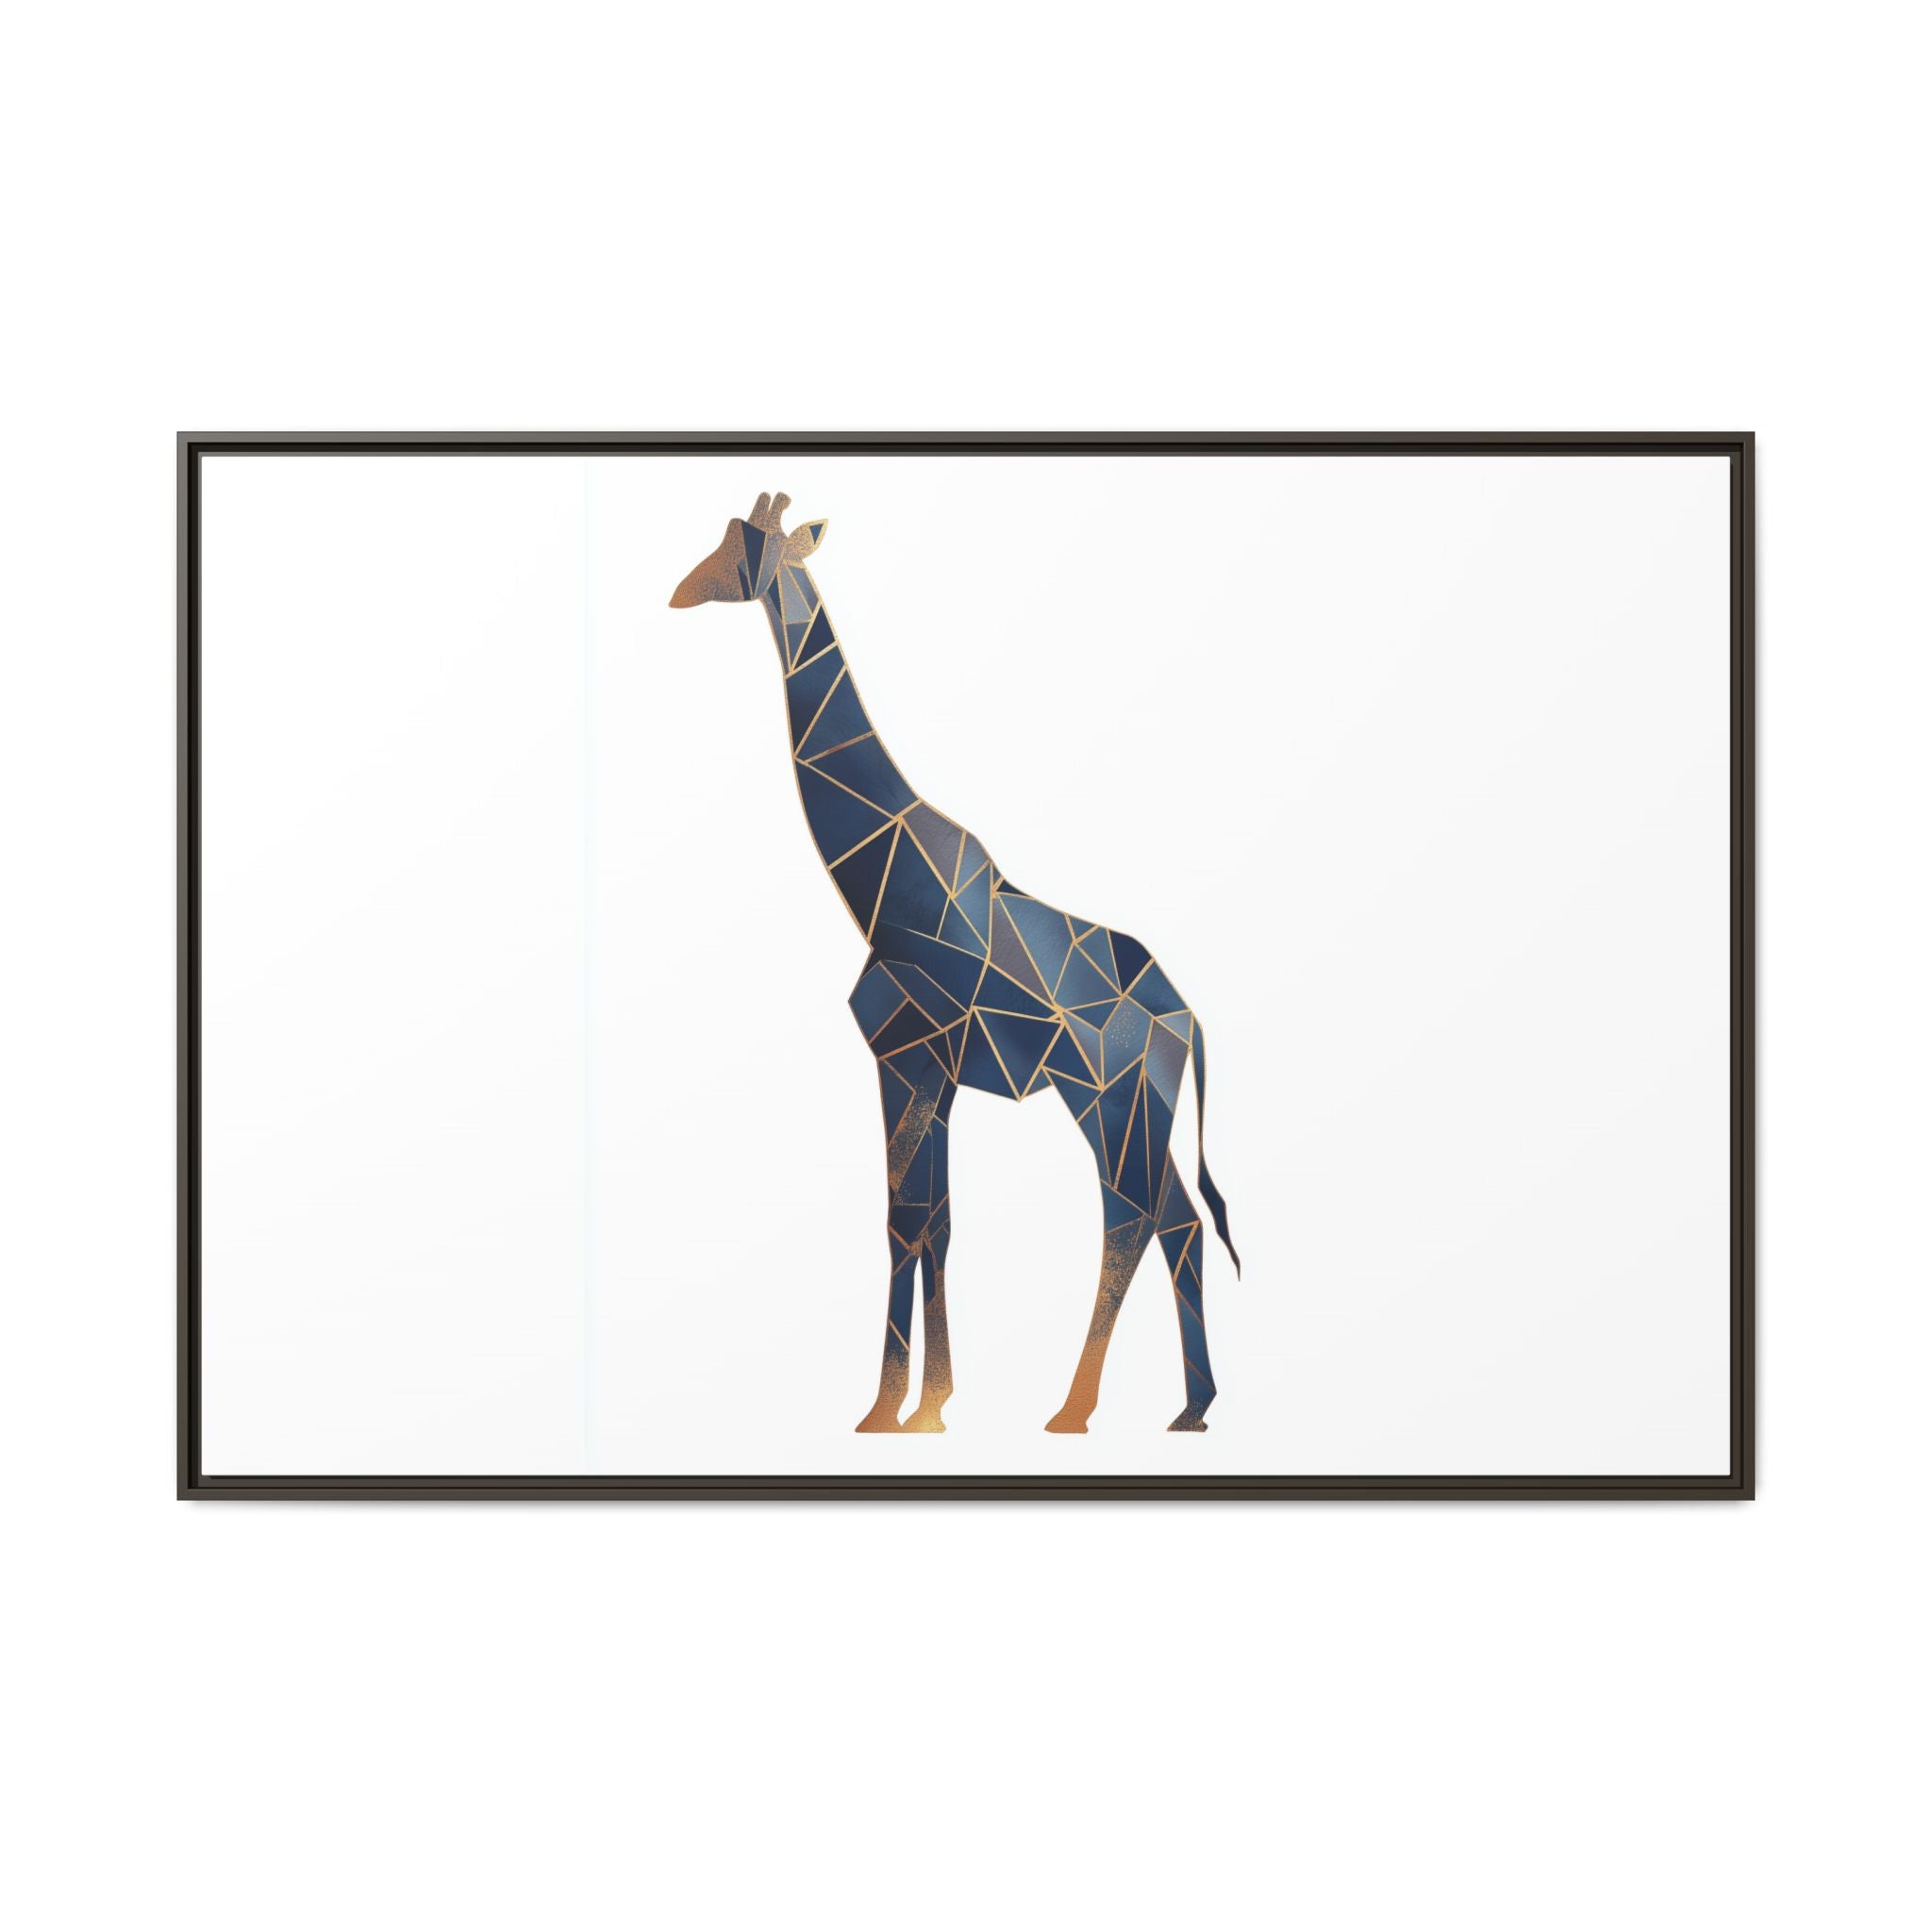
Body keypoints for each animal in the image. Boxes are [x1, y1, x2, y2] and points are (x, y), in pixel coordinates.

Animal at [669, 492, 1241, 1434]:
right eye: (723, 538)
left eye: (745, 549)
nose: (681, 591)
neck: (881, 888)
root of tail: (1187, 1019)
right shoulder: (927, 1072)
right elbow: (930, 1220)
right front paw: (920, 1405)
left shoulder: (907, 1057)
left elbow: (907, 1221)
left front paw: (896, 1408)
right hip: (1137, 1104)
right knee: (1177, 1221)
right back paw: (1190, 1408)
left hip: (1107, 1096)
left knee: (1131, 1216)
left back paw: (1076, 1410)